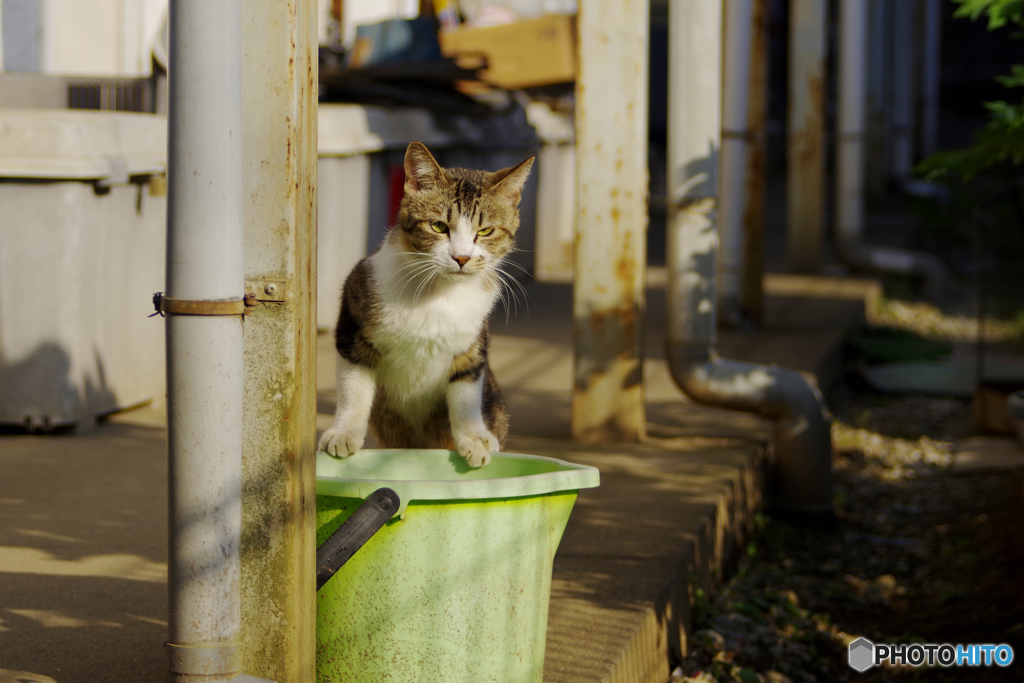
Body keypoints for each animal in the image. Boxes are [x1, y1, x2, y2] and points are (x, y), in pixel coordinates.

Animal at [315, 140, 532, 471]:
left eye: (485, 231)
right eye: (439, 226)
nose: (462, 257)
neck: (437, 293)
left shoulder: (472, 345)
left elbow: (466, 393)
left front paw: (474, 437)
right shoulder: (353, 328)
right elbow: (354, 388)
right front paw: (345, 432)